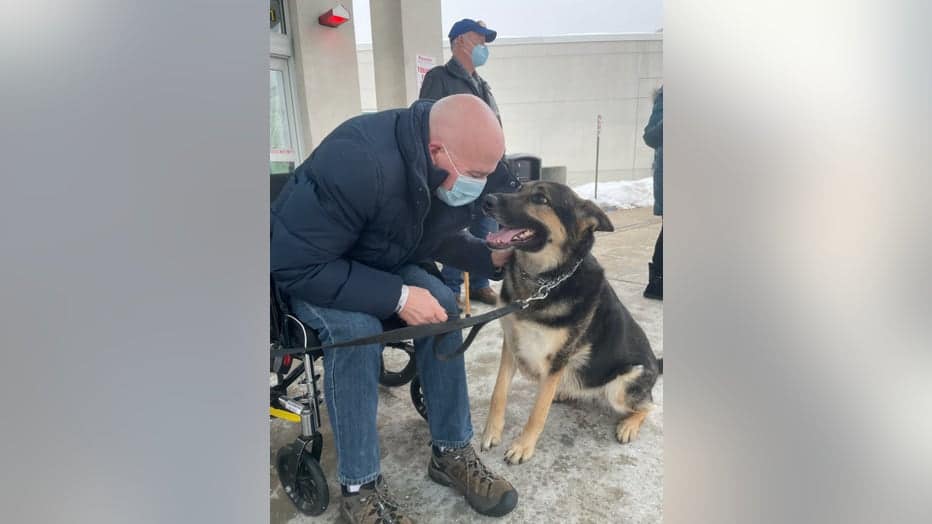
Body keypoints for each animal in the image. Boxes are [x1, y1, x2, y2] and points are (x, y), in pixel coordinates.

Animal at [480, 182, 664, 464]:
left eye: (540, 198)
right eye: (519, 187)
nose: (486, 200)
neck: (544, 281)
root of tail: (655, 362)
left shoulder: (556, 360)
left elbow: (538, 412)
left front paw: (523, 446)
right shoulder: (511, 345)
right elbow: (498, 394)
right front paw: (492, 432)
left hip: (622, 386)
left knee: (648, 405)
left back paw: (629, 425)